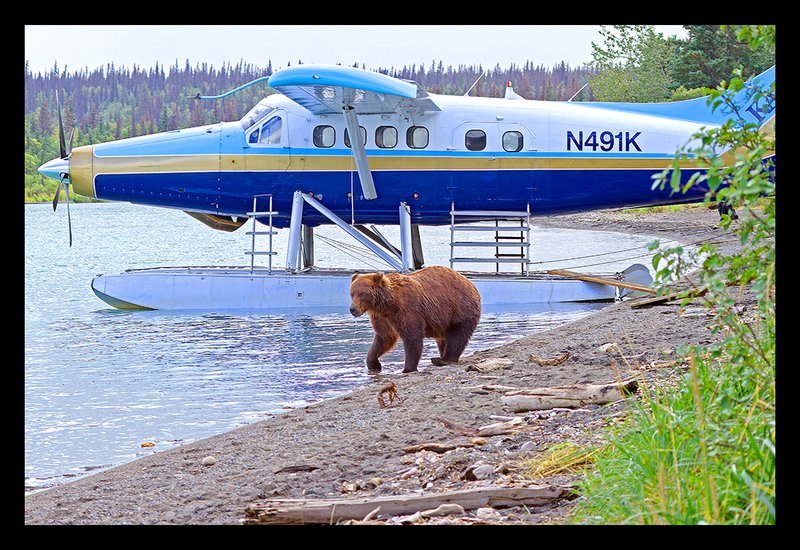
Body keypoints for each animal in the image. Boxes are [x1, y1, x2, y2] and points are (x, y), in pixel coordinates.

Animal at [350, 268, 482, 376]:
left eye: (362, 294)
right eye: (352, 293)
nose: (352, 309)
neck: (387, 305)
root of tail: (471, 284)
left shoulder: (407, 310)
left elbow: (412, 338)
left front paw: (407, 369)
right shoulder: (382, 318)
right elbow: (384, 338)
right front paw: (374, 364)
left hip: (459, 309)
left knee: (457, 335)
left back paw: (444, 359)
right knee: (443, 339)